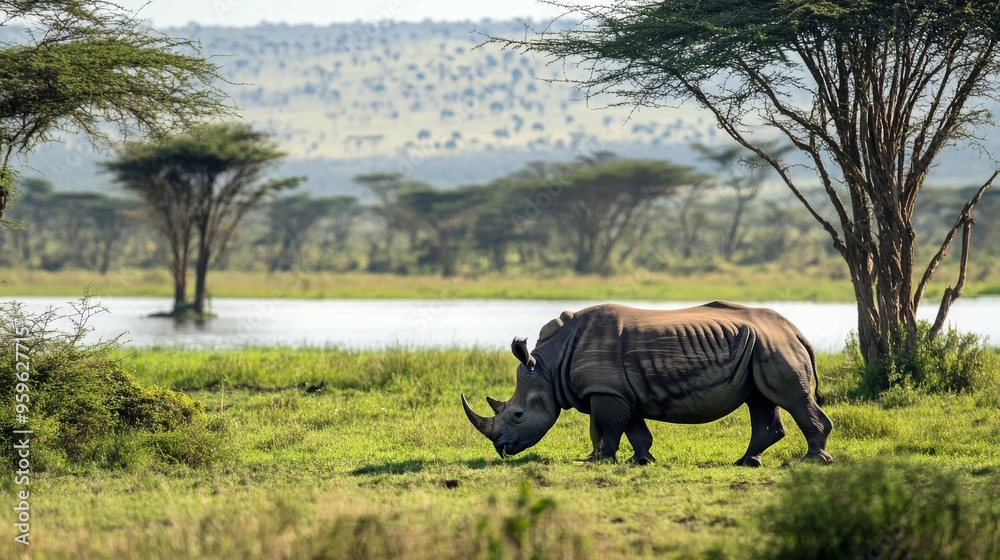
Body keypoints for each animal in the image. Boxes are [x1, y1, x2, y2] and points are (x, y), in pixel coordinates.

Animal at [462, 302, 833, 466]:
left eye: (518, 415)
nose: (502, 449)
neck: (548, 367)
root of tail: (796, 331)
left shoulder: (605, 391)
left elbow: (603, 428)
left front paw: (595, 461)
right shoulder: (621, 392)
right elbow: (634, 428)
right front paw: (641, 461)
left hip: (774, 345)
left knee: (791, 399)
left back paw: (813, 461)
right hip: (762, 345)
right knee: (761, 399)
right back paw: (746, 463)